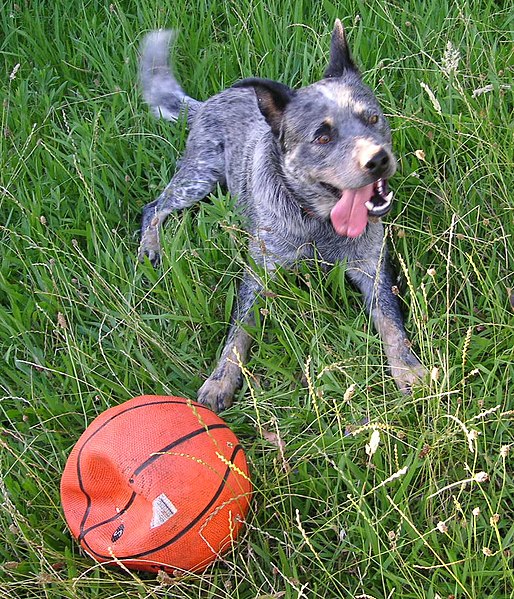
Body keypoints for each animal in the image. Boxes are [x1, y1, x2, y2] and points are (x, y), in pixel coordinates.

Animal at [137, 18, 424, 412]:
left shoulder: (371, 264)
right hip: (199, 176)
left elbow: (390, 319)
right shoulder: (260, 273)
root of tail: (209, 101)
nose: (378, 159)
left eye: (373, 118)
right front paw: (220, 380)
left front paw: (407, 368)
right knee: (155, 206)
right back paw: (150, 245)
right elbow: (238, 332)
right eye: (322, 137)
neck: (316, 220)